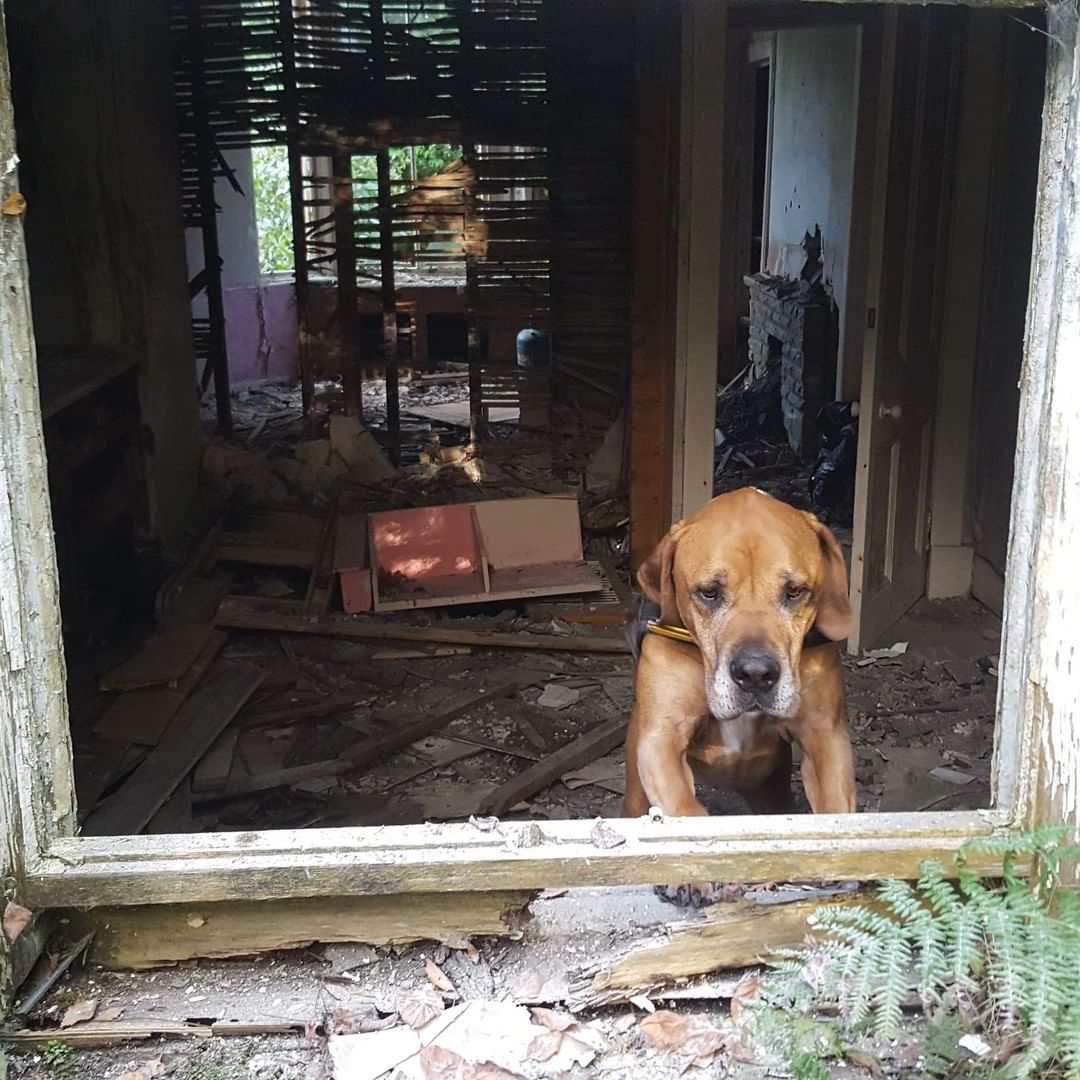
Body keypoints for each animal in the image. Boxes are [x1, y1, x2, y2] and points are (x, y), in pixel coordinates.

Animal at [622, 486, 855, 820]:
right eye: (709, 592)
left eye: (794, 591)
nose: (756, 674)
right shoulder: (662, 738)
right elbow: (686, 808)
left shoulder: (825, 736)